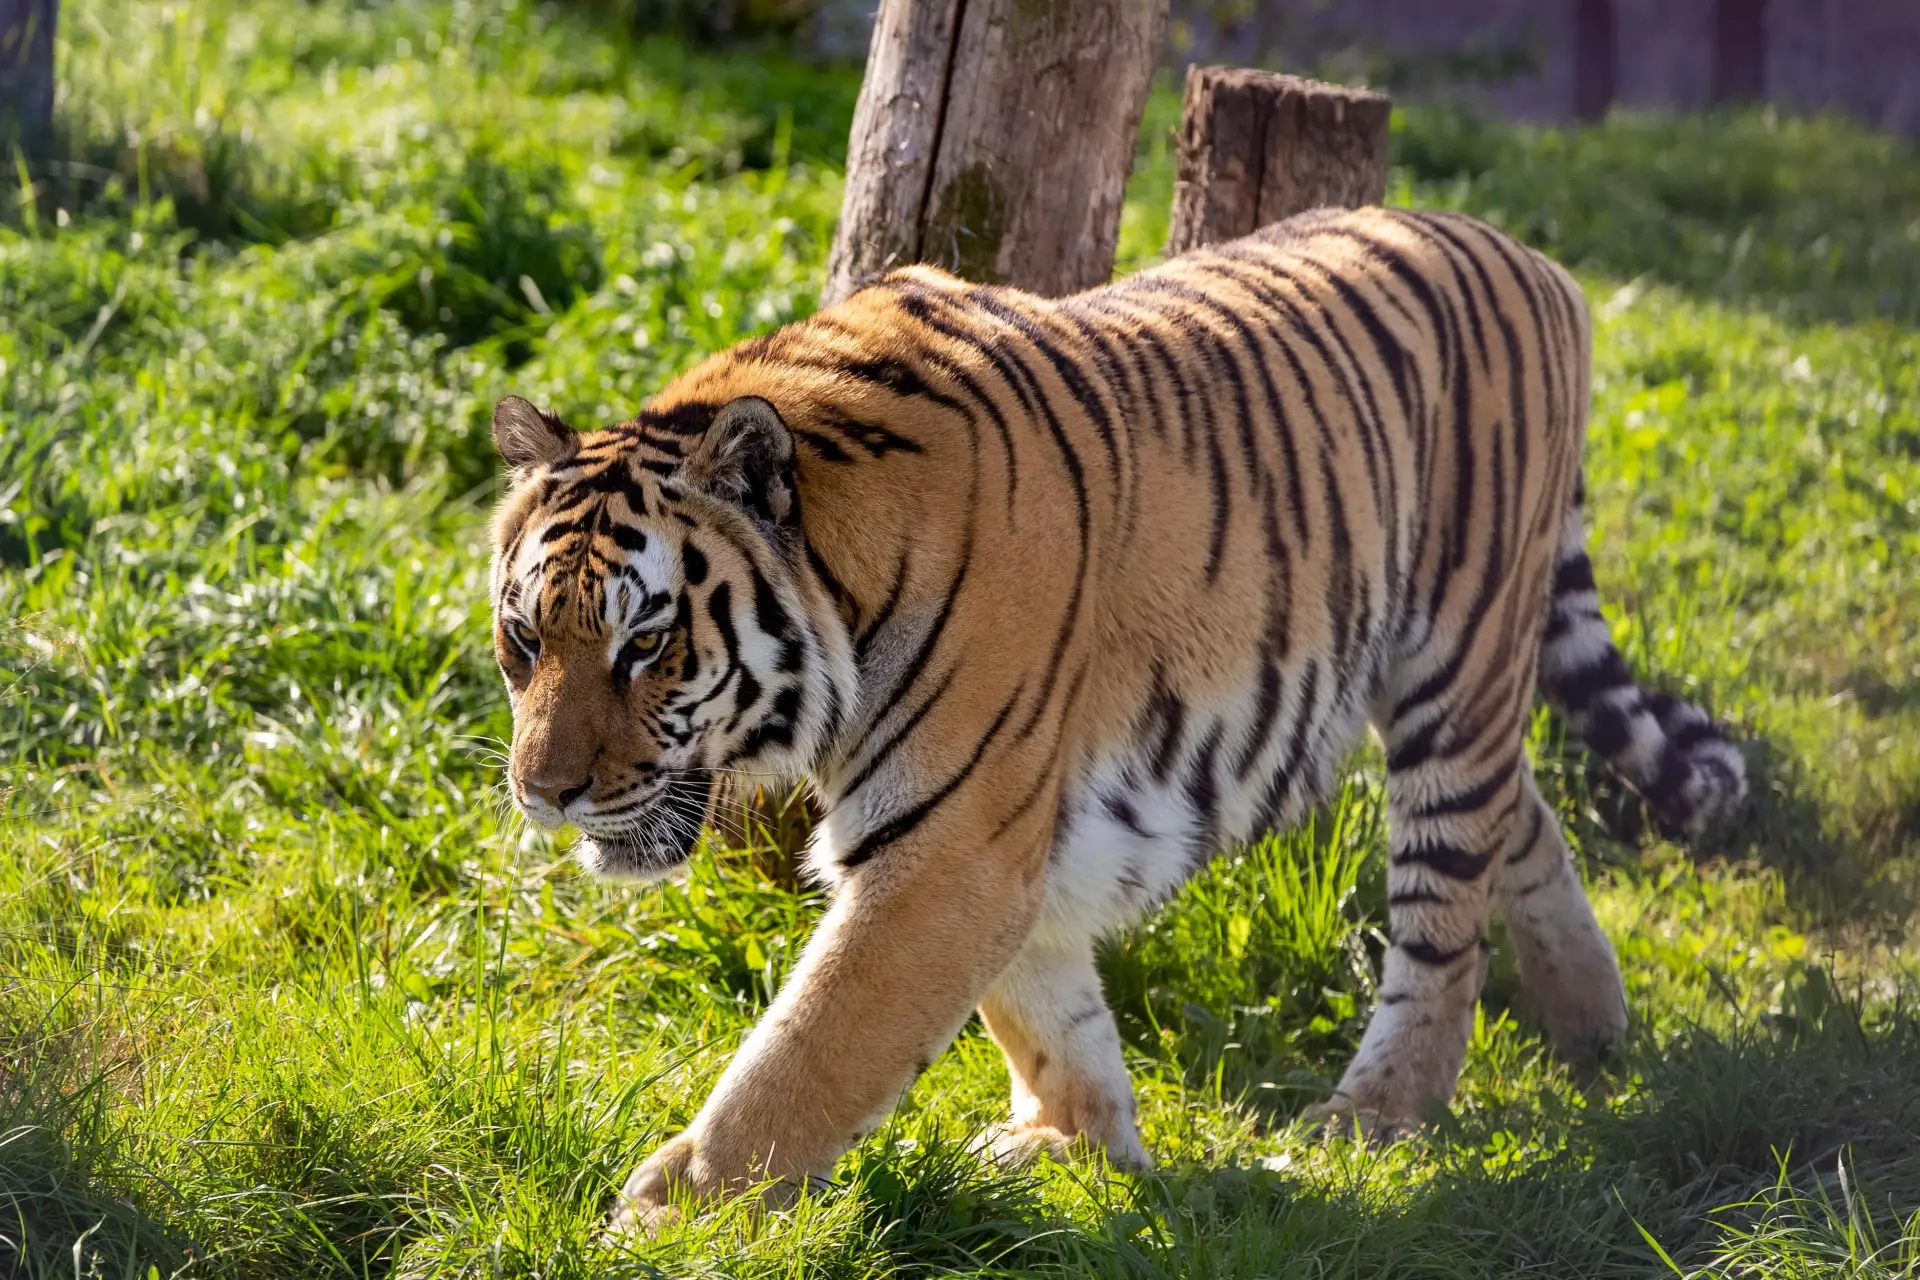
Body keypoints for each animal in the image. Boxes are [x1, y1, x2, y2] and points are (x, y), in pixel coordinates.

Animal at [485, 205, 1746, 1233]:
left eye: (647, 644)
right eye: (526, 640)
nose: (544, 792)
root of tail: (1534, 257)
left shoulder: (951, 841)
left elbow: (811, 1049)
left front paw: (663, 1215)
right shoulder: (1001, 831)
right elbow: (1044, 998)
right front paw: (1077, 1142)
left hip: (1460, 651)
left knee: (1447, 909)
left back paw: (1380, 1113)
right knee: (1517, 816)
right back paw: (1593, 1023)